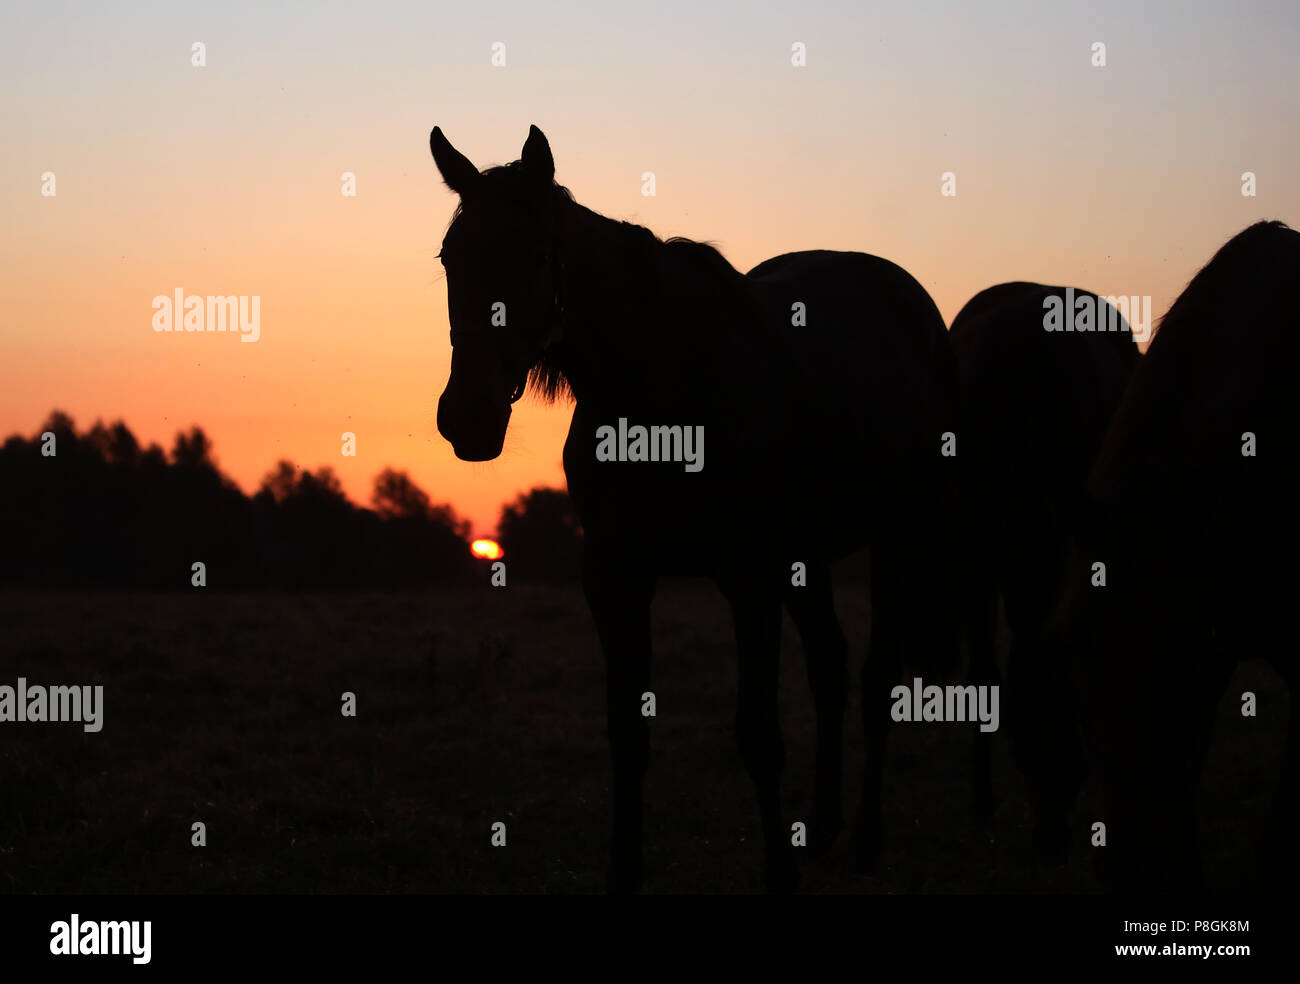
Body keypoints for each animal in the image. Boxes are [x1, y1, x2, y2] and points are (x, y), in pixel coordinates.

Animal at [431, 122, 961, 889]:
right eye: (451, 259)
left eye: (531, 256)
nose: (466, 418)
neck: (664, 388)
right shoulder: (615, 577)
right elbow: (627, 732)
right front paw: (625, 872)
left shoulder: (748, 576)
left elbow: (759, 736)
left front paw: (777, 877)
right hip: (806, 559)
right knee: (830, 667)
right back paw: (823, 827)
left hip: (900, 536)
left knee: (873, 678)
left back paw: (864, 840)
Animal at [946, 280, 1138, 857]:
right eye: (1023, 738)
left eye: (1071, 728)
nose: (1050, 839)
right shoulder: (976, 562)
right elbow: (984, 675)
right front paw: (981, 803)